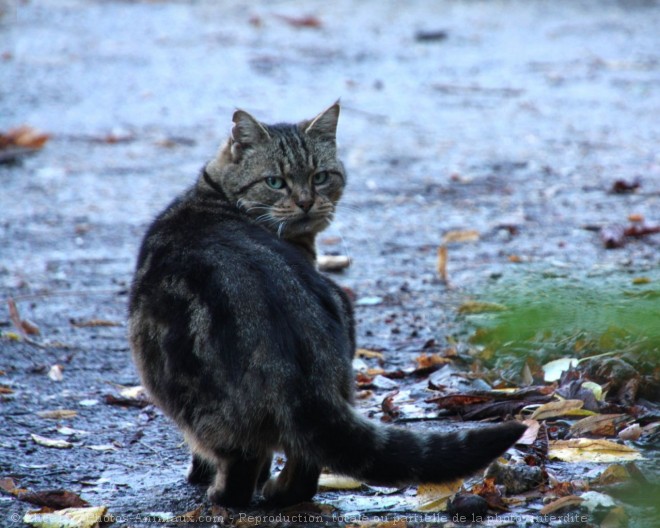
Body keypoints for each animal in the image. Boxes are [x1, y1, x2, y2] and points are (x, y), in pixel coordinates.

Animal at [126, 104, 524, 508]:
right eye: (275, 182)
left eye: (319, 177)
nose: (305, 201)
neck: (212, 194)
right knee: (305, 464)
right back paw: (279, 492)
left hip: (191, 399)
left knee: (245, 462)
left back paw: (224, 494)